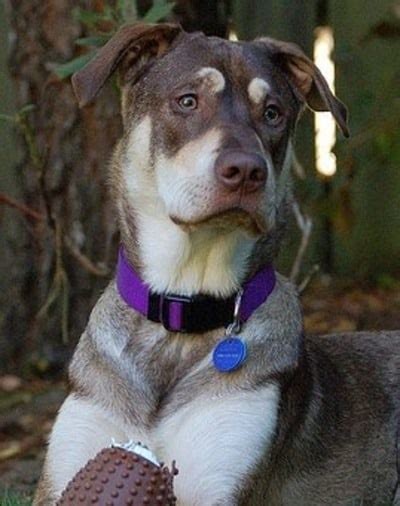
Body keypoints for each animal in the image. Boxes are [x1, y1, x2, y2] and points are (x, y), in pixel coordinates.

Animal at [35, 23, 400, 506]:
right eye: (187, 100)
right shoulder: (68, 467)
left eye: (273, 113)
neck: (181, 312)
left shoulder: (223, 477)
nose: (246, 171)